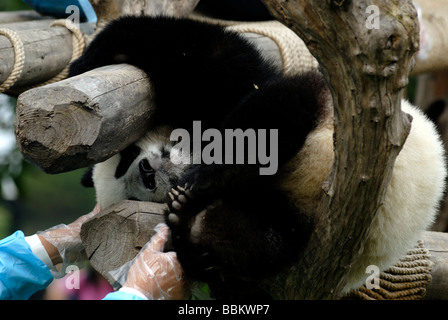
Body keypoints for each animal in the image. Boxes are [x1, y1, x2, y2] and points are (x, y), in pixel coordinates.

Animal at [72, 15, 446, 298]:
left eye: (128, 154)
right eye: (135, 194)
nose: (148, 172)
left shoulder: (219, 94)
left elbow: (208, 60)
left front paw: (89, 57)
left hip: (324, 111)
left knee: (275, 112)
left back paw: (208, 183)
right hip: (296, 220)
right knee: (269, 241)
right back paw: (196, 225)